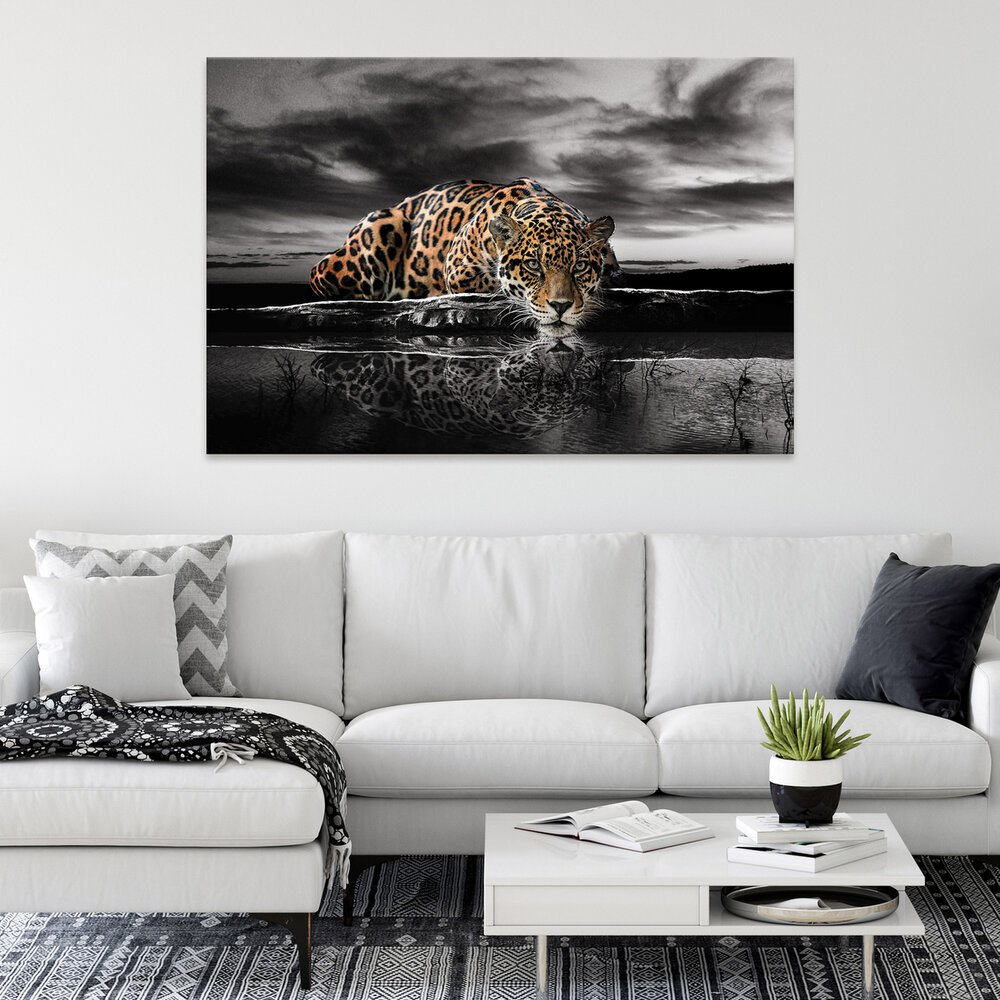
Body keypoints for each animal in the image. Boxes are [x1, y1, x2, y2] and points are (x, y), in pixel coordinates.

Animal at [310, 178, 617, 335]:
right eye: (532, 265)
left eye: (579, 266)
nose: (561, 307)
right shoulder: (458, 269)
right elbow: (497, 285)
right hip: (376, 233)